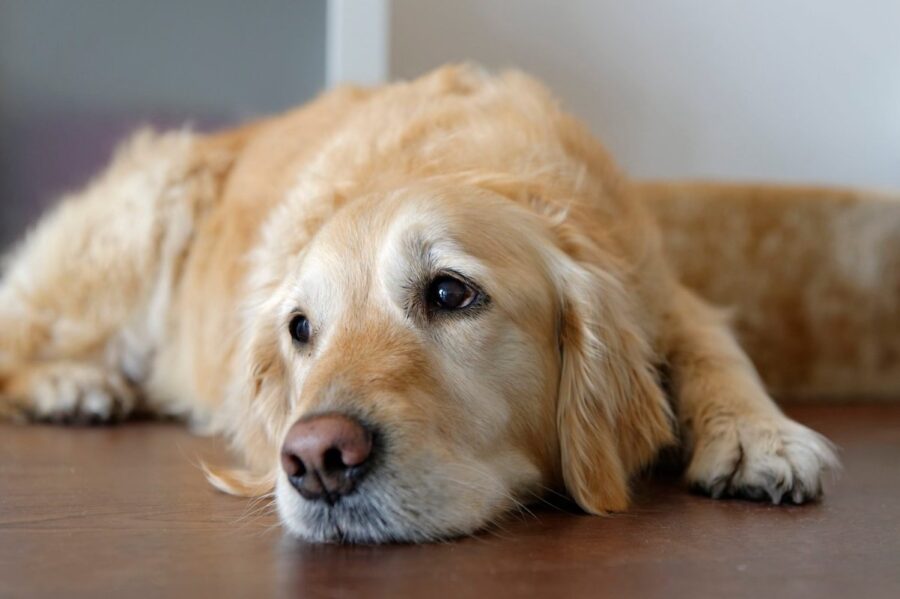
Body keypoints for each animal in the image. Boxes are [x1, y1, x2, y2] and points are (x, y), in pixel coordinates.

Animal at [10, 64, 896, 544]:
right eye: (300, 328)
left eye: (448, 291)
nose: (315, 460)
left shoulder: (662, 291)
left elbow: (716, 345)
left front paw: (758, 435)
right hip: (140, 221)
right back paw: (72, 385)